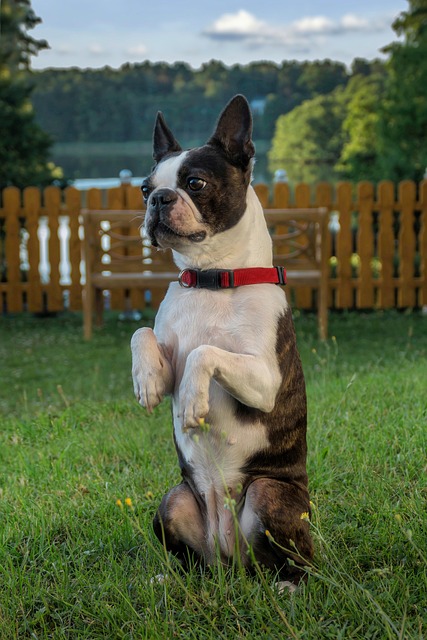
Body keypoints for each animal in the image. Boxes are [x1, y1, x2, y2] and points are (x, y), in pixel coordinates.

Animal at [130, 95, 314, 584]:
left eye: (195, 183)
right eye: (144, 189)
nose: (159, 199)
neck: (211, 279)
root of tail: (230, 561)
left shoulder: (265, 379)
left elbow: (204, 350)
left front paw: (194, 401)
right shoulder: (168, 348)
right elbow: (142, 332)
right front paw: (146, 380)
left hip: (269, 494)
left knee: (299, 560)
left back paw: (290, 585)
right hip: (173, 500)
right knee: (192, 559)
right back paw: (171, 577)